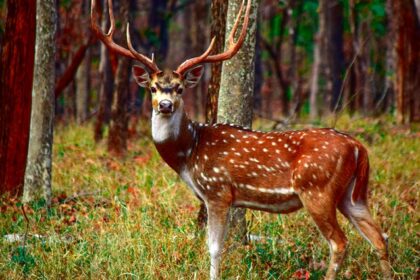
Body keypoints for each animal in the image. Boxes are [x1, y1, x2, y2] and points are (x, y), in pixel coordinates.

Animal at [90, 0, 392, 280]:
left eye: (179, 88)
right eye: (153, 88)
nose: (165, 105)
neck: (189, 153)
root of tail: (358, 147)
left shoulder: (217, 190)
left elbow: (214, 248)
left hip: (318, 189)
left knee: (340, 243)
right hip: (352, 194)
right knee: (379, 237)